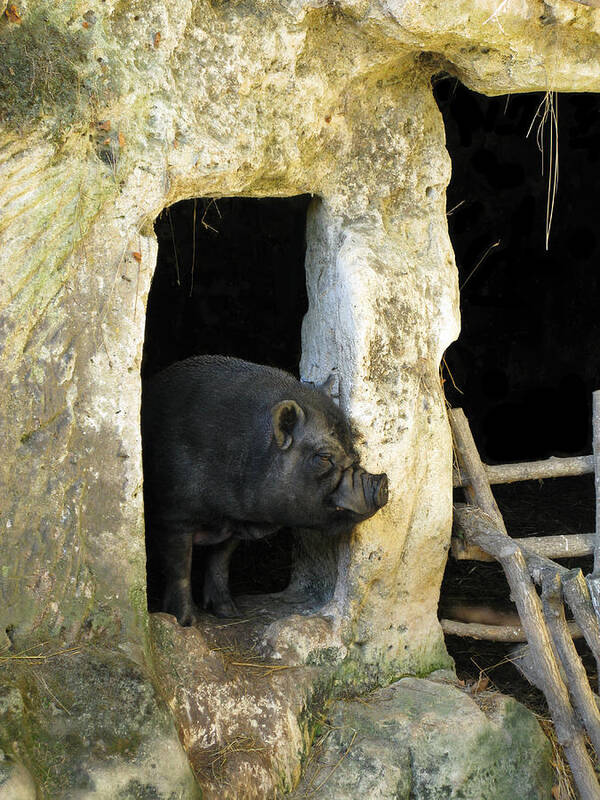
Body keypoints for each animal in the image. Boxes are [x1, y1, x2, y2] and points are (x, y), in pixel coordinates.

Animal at [144, 356, 392, 624]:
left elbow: (219, 562)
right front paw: (185, 622)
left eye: (355, 454)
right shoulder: (174, 516)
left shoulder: (234, 524)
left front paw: (228, 612)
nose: (383, 482)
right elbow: (180, 569)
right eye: (324, 457)